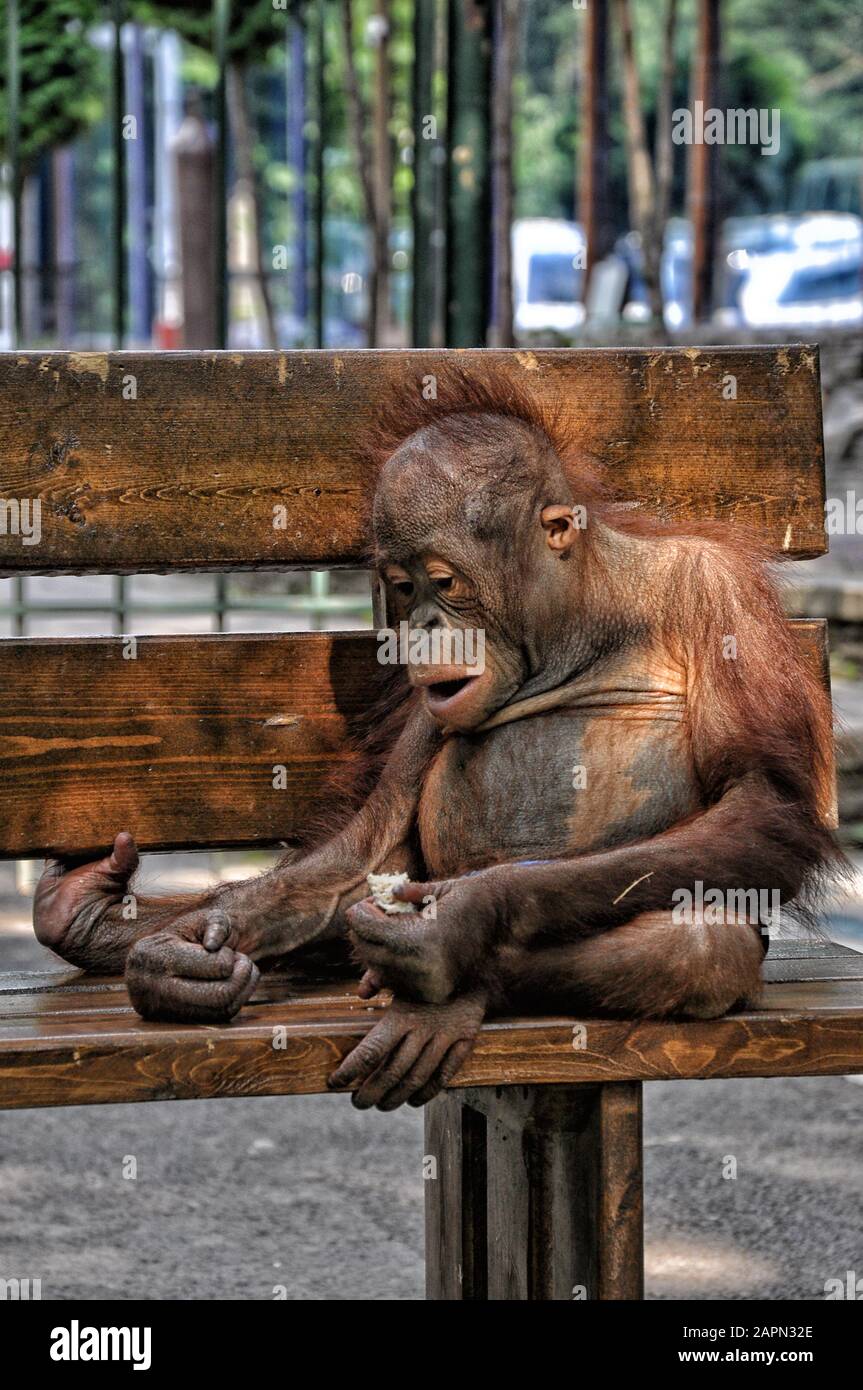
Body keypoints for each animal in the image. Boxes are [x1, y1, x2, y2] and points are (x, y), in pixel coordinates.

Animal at [32, 368, 842, 1111]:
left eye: (444, 581)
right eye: (402, 586)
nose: (420, 626)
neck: (576, 618)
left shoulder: (719, 595)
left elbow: (760, 798)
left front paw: (459, 921)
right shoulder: (430, 703)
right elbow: (367, 852)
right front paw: (181, 956)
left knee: (698, 941)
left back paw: (446, 985)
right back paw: (100, 918)